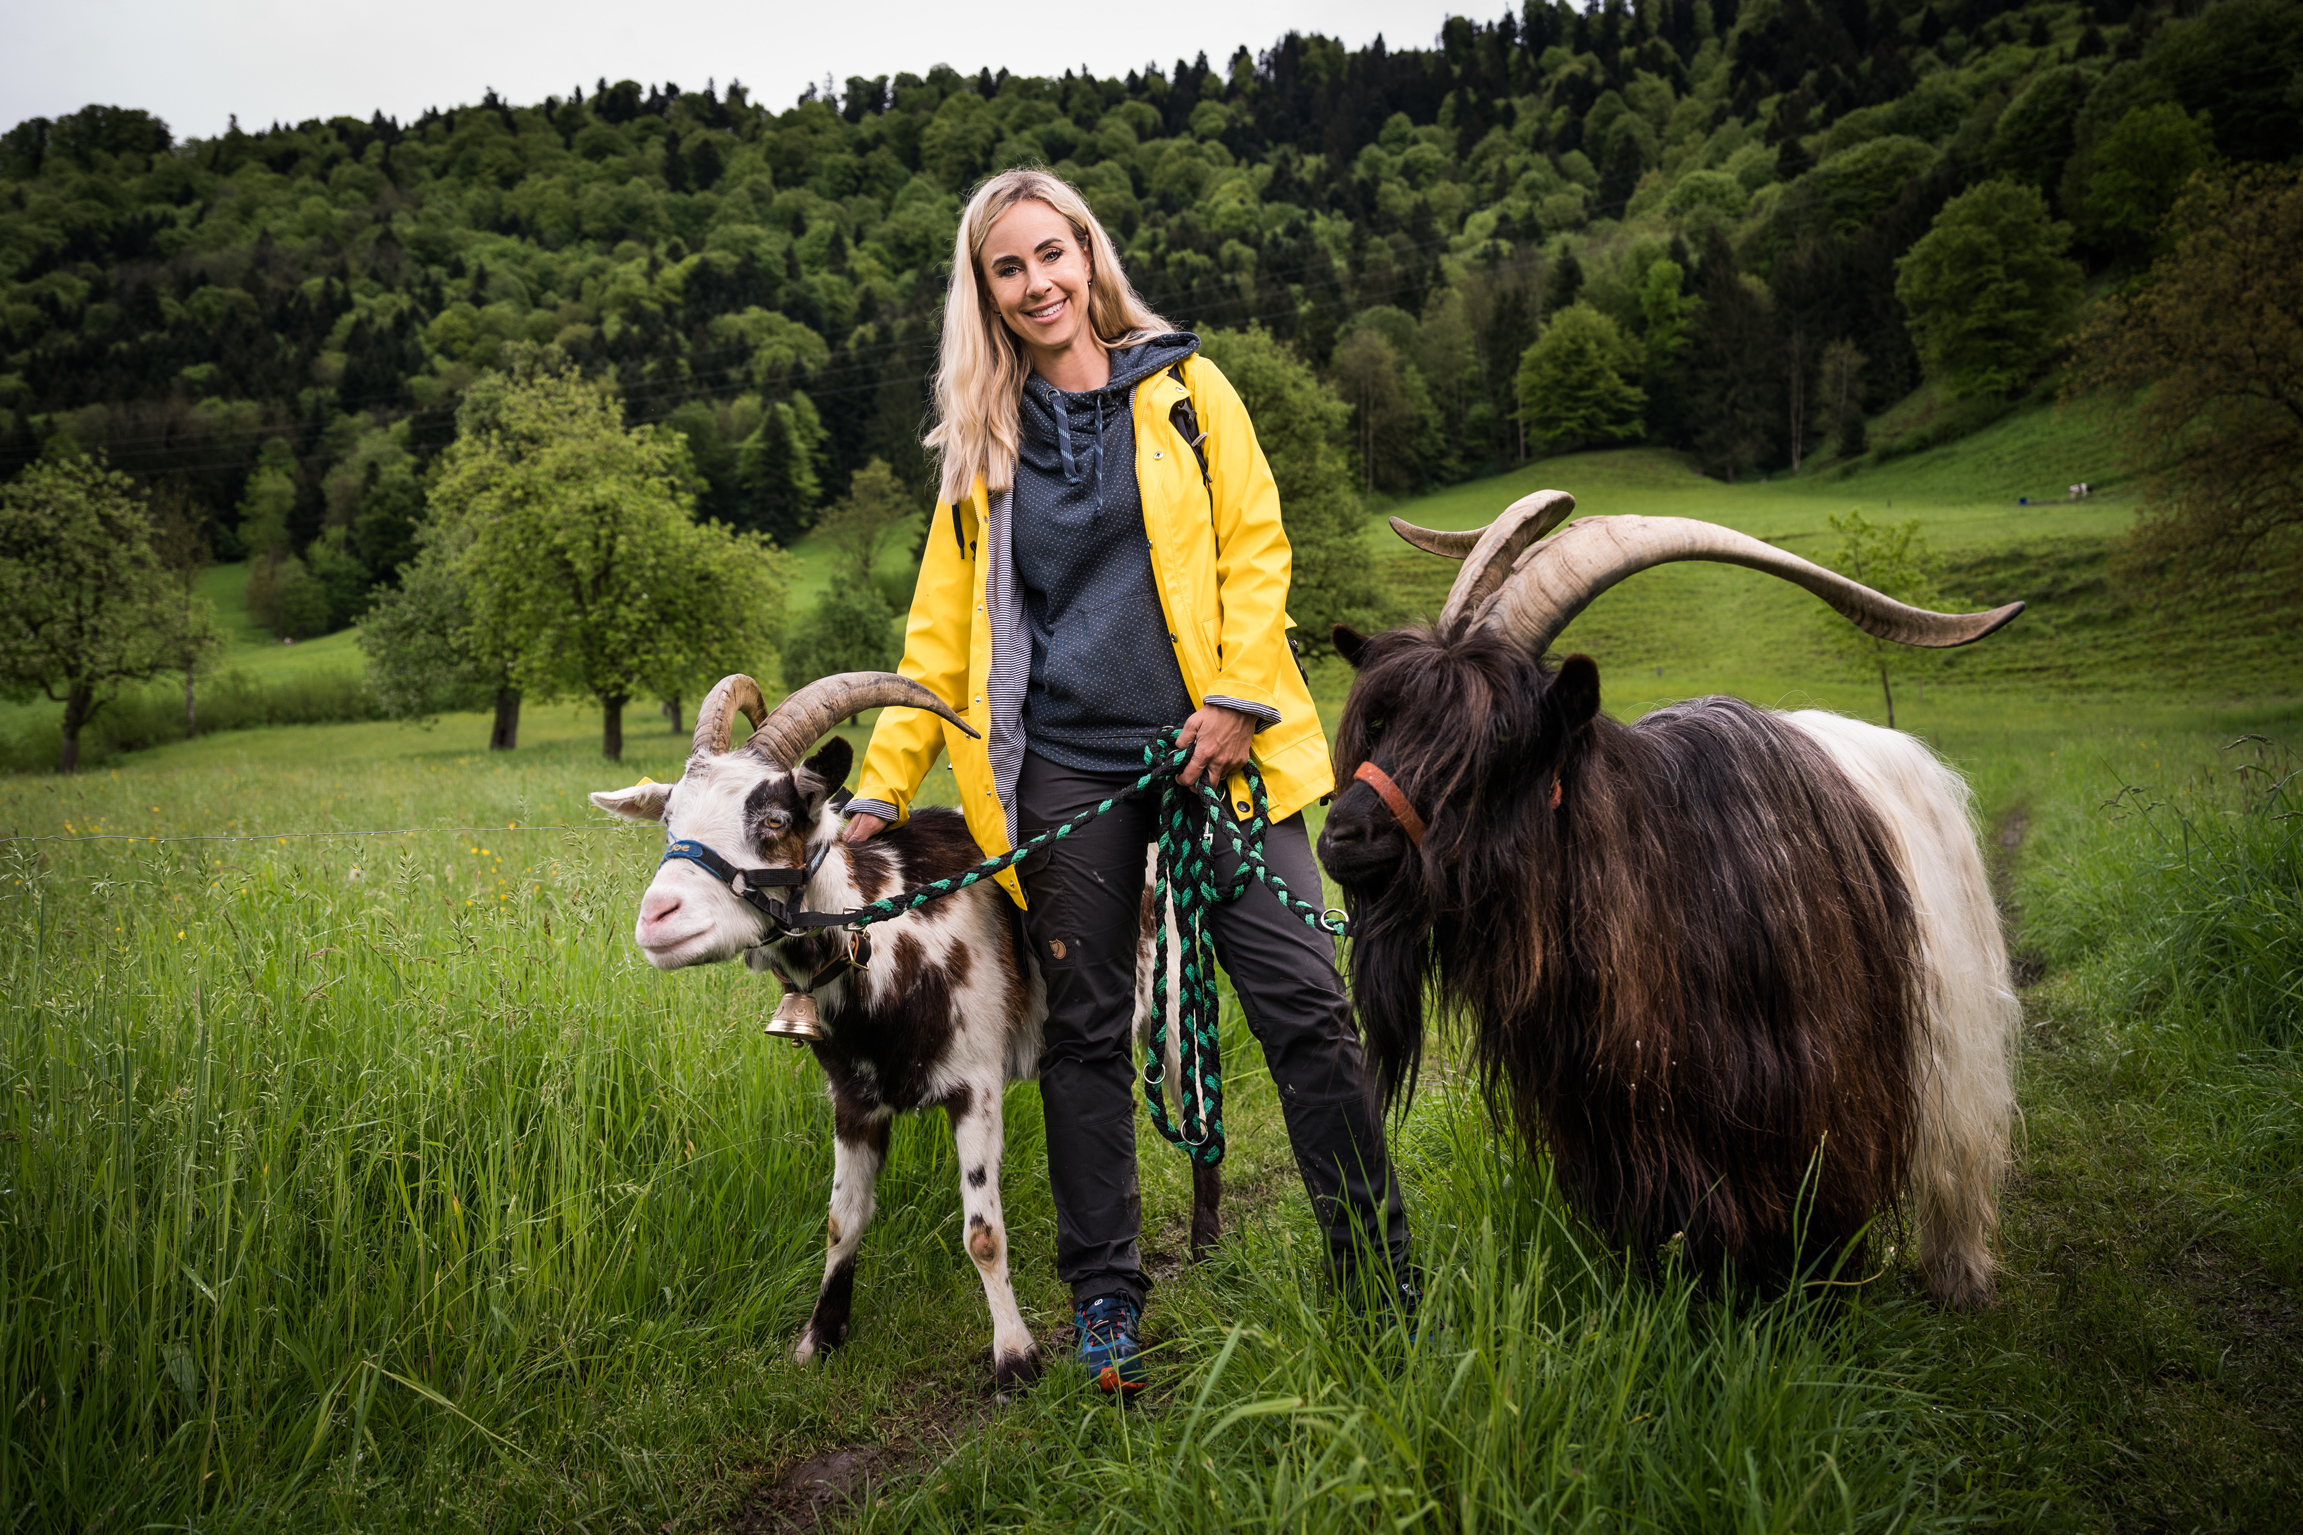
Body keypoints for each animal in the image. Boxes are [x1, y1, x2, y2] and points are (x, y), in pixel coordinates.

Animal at [584, 671, 1215, 1390]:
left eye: (774, 821)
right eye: (669, 822)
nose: (658, 917)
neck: (889, 939)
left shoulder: (975, 1086)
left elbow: (982, 1234)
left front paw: (1014, 1358)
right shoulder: (852, 1100)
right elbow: (842, 1219)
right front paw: (818, 1338)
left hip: (1174, 1002)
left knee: (1196, 1115)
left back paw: (1207, 1249)